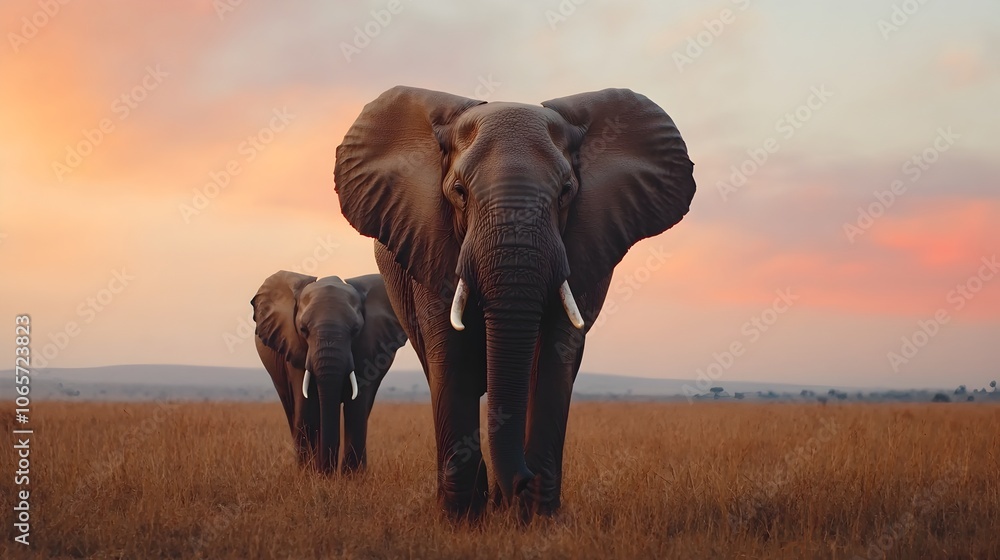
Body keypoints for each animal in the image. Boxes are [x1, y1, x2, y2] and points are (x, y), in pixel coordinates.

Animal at [251, 270, 407, 474]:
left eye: (355, 330)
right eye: (303, 330)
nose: (327, 471)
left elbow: (356, 409)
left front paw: (351, 477)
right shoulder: (294, 347)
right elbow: (307, 409)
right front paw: (311, 475)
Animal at [334, 86, 696, 519]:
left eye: (566, 192)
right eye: (459, 192)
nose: (521, 481)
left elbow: (552, 359)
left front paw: (535, 517)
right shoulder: (427, 240)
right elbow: (451, 355)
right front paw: (462, 519)